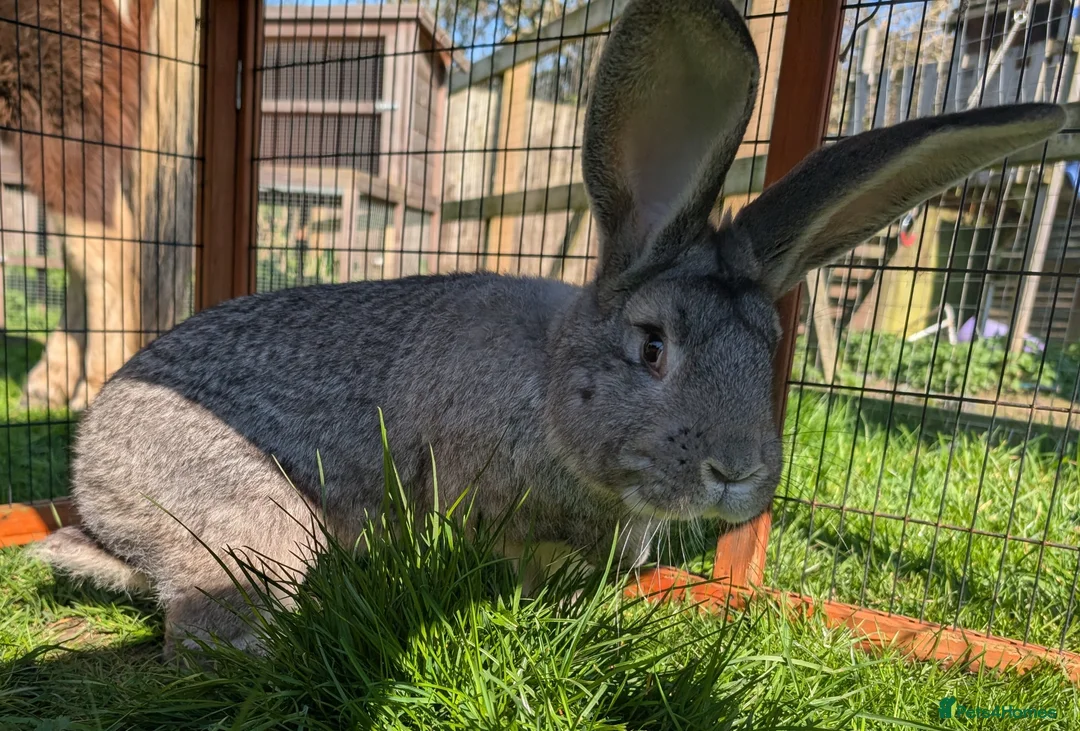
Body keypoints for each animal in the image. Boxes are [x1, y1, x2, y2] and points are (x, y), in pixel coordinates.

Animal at [30, 0, 1066, 658]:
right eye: (651, 345)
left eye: (768, 354)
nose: (736, 471)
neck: (549, 386)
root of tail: (89, 465)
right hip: (254, 524)